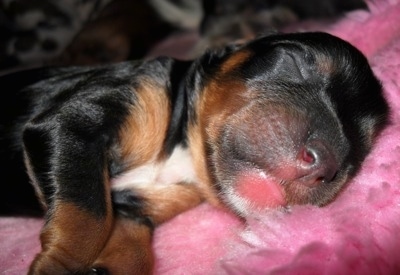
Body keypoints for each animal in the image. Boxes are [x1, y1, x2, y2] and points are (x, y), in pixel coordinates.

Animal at [0, 31, 390, 274]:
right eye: (294, 61)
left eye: (361, 146)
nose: (326, 162)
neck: (184, 154)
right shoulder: (74, 121)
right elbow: (88, 217)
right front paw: (60, 267)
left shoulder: (136, 208)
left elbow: (130, 248)